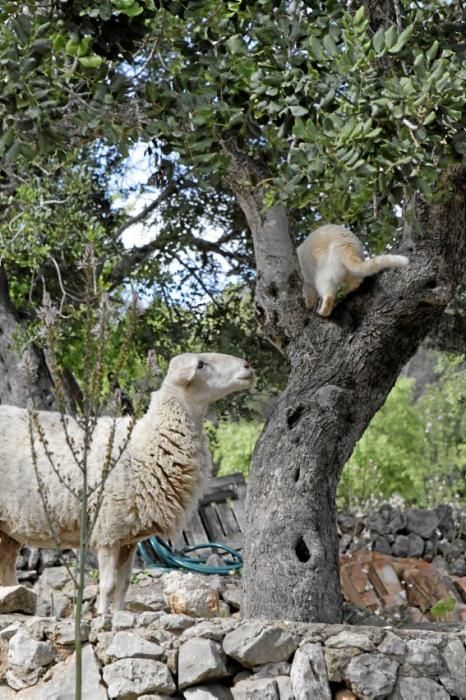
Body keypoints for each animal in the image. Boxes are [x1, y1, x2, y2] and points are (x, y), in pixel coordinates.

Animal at [0, 352, 255, 608]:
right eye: (200, 365)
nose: (248, 366)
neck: (145, 445)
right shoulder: (107, 531)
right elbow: (108, 586)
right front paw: (102, 615)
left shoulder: (129, 538)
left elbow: (123, 585)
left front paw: (119, 614)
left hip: (9, 530)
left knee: (8, 574)